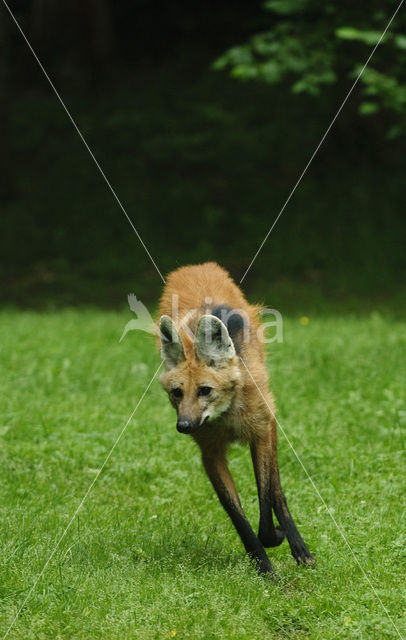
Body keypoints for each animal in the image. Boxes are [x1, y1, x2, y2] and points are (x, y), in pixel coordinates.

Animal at [157, 260, 312, 576]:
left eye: (205, 390)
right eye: (177, 393)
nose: (184, 426)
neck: (226, 416)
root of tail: (196, 266)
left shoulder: (260, 431)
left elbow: (266, 500)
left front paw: (277, 536)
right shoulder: (210, 453)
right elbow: (238, 516)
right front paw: (263, 566)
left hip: (269, 418)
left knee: (277, 488)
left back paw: (299, 547)